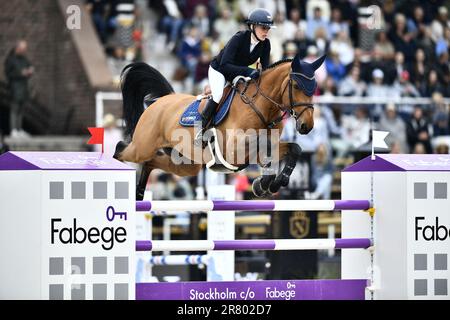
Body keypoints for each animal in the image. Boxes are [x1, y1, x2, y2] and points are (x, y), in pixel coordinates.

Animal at [112, 54, 324, 200]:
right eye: (296, 86)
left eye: (313, 88)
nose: (307, 126)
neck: (262, 108)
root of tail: (161, 101)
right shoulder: (233, 151)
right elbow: (265, 149)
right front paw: (263, 183)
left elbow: (294, 149)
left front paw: (270, 183)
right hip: (143, 146)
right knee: (121, 150)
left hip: (185, 164)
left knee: (150, 162)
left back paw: (139, 193)